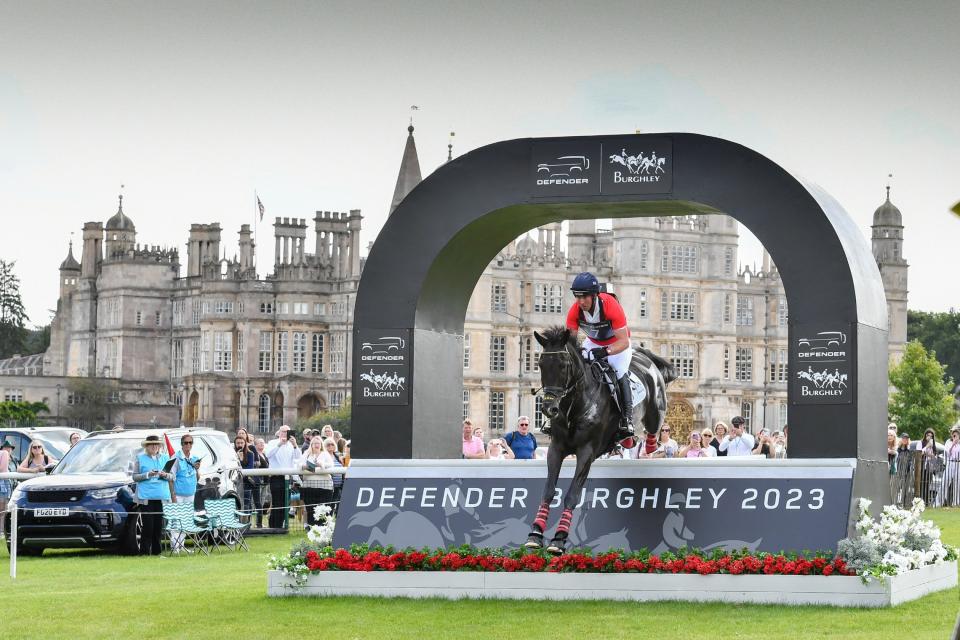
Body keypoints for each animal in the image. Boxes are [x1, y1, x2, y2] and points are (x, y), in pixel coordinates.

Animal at [524, 328, 676, 552]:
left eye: (563, 365)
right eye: (541, 364)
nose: (548, 408)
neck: (576, 404)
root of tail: (644, 356)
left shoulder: (586, 452)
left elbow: (572, 494)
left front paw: (559, 539)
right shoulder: (556, 449)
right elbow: (548, 491)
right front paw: (535, 533)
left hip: (655, 412)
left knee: (653, 429)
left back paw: (645, 444)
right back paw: (628, 441)